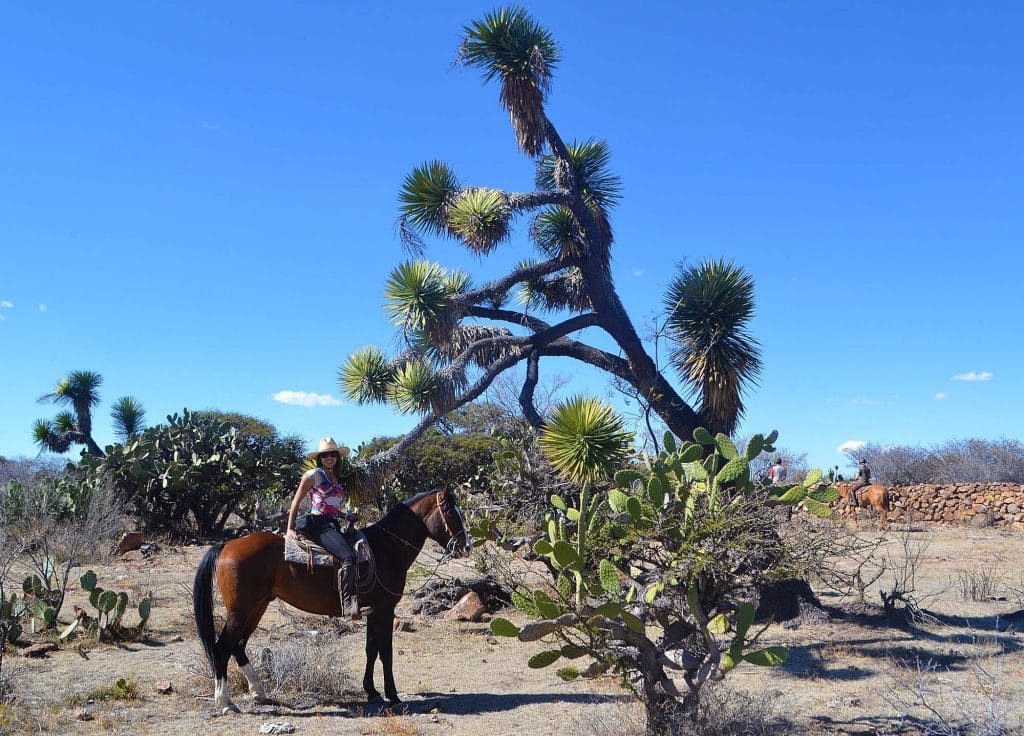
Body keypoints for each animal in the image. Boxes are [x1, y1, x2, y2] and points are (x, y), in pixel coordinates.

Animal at [192, 489, 471, 712]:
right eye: (450, 511)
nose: (466, 547)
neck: (386, 549)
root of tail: (227, 545)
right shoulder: (384, 610)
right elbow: (386, 652)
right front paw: (393, 695)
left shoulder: (372, 612)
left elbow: (371, 650)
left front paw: (371, 691)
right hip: (241, 611)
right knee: (222, 647)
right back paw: (225, 702)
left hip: (256, 608)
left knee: (238, 646)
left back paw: (259, 692)